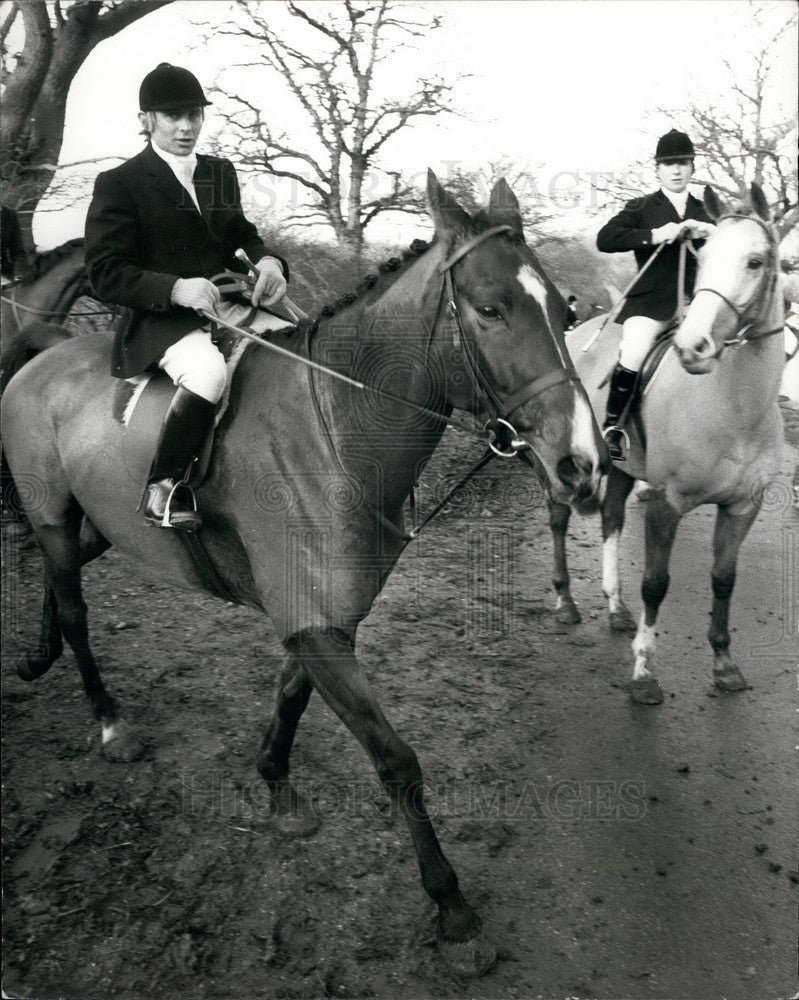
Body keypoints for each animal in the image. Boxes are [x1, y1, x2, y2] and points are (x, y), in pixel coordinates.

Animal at [1, 172, 608, 976]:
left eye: (565, 311)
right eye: (489, 310)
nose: (582, 463)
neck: (337, 429)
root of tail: (41, 359)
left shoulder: (321, 620)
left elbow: (290, 700)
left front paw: (277, 789)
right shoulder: (316, 626)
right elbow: (397, 761)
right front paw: (451, 908)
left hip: (92, 524)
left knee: (54, 579)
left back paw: (38, 659)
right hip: (49, 514)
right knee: (73, 608)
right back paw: (109, 721)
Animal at [552, 186, 788, 704]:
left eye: (756, 261)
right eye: (703, 258)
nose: (692, 347)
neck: (736, 407)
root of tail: (577, 335)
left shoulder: (743, 506)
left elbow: (724, 581)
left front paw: (724, 664)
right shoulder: (666, 503)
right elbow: (656, 584)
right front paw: (644, 672)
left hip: (620, 467)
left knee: (611, 519)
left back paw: (616, 608)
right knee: (559, 520)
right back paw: (564, 600)